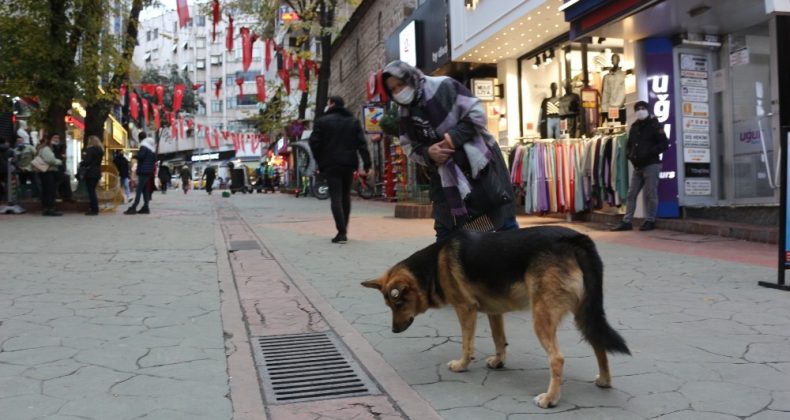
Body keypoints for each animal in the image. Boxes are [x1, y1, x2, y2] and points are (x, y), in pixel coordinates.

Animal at [364, 226, 632, 406]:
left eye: (398, 304)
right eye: (390, 305)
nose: (394, 330)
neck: (432, 266)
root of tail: (575, 239)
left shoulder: (466, 310)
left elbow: (466, 345)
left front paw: (462, 365)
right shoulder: (494, 311)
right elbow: (499, 339)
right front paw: (498, 361)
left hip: (541, 317)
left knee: (557, 359)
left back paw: (550, 398)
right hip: (584, 314)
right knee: (598, 343)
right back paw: (604, 380)